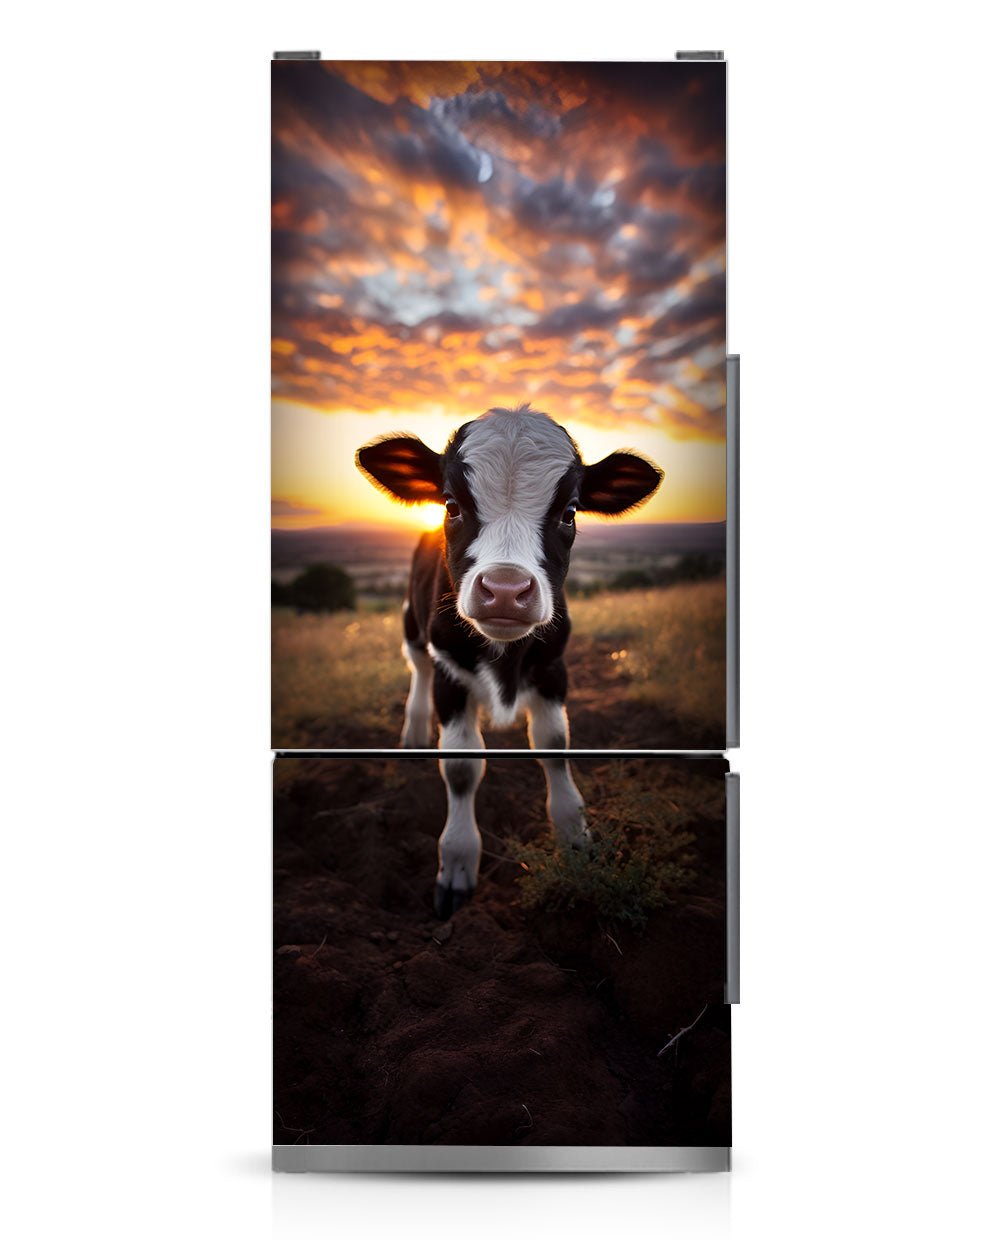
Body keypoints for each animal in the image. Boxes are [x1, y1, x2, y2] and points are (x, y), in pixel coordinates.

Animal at [356, 405, 662, 917]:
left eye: (569, 512)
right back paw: (414, 733)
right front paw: (457, 864)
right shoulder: (450, 673)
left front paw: (576, 839)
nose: (504, 590)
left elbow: (554, 744)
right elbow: (461, 767)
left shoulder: (554, 667)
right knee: (416, 668)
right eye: (451, 504)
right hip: (411, 625)